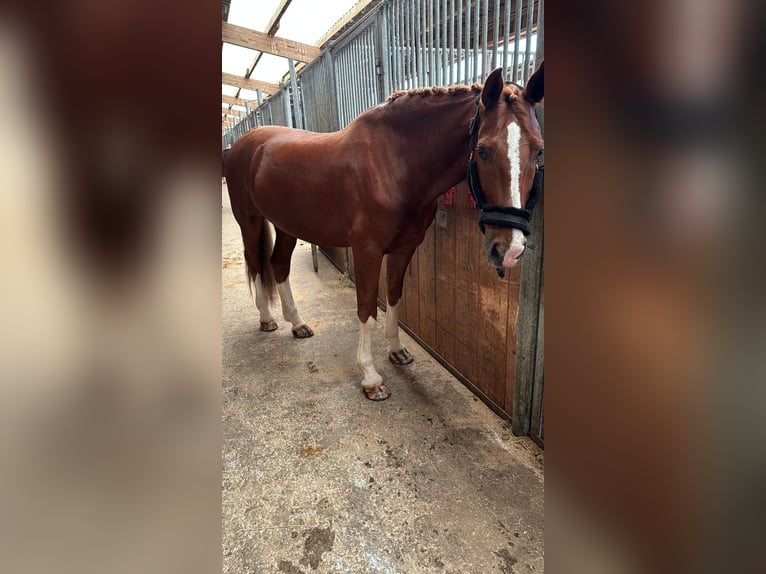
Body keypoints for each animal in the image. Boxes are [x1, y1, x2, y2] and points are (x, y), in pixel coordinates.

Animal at [224, 62, 544, 400]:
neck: (395, 163)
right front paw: (370, 376)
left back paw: (298, 324)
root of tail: (243, 144)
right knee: (256, 264)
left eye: (538, 151)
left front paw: (397, 351)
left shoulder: (404, 248)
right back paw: (267, 319)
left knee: (279, 265)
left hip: (288, 226)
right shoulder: (366, 250)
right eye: (482, 151)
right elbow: (366, 306)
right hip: (250, 221)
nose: (510, 249)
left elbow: (394, 295)